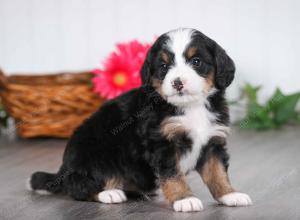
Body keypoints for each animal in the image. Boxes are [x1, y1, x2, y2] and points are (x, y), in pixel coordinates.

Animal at [28, 27, 253, 211]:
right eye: (163, 66)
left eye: (196, 61)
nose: (177, 82)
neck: (192, 107)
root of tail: (63, 168)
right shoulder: (162, 143)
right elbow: (172, 174)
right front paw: (184, 199)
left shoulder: (213, 141)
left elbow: (217, 173)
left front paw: (230, 194)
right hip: (94, 155)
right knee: (79, 187)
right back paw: (109, 193)